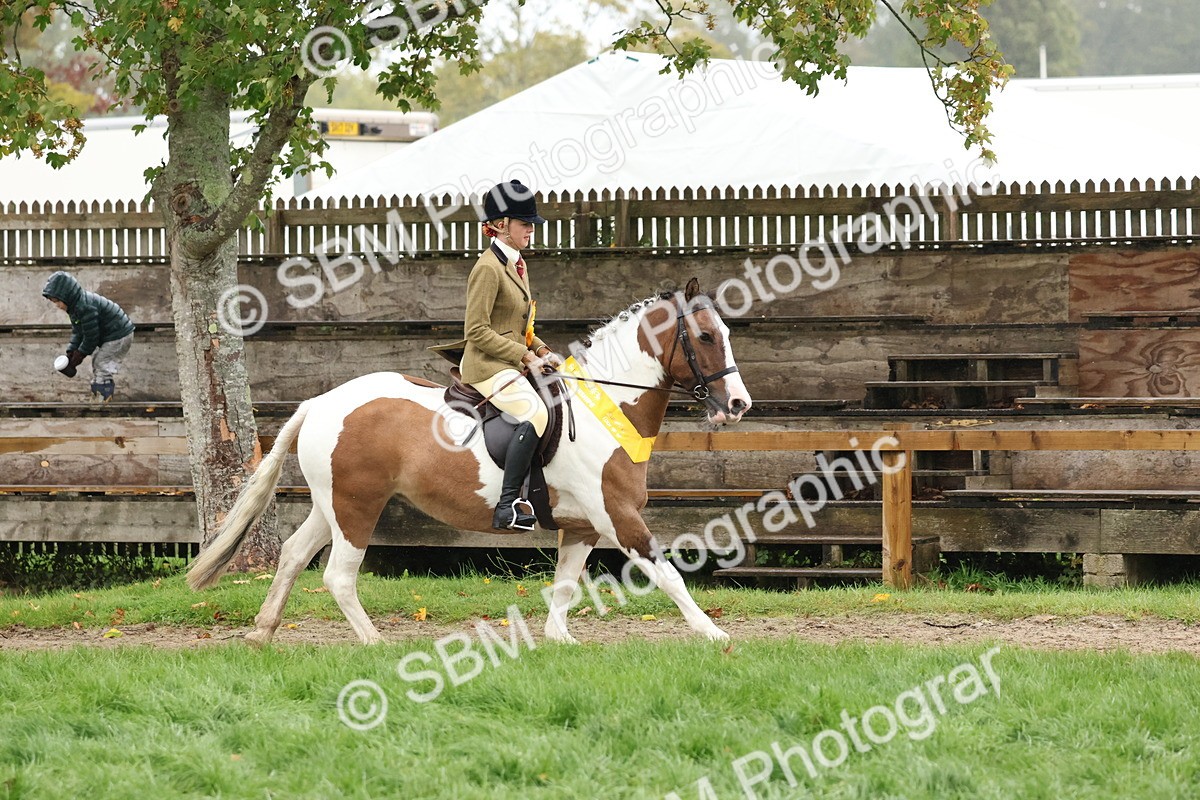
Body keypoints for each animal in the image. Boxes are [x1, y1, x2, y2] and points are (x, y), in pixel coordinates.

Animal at [186, 277, 753, 644]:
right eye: (706, 336)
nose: (738, 405)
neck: (605, 408)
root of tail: (321, 402)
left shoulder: (583, 526)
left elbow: (566, 584)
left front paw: (558, 641)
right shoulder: (617, 516)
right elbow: (668, 574)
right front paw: (713, 633)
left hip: (331, 505)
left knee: (292, 555)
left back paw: (262, 634)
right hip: (356, 506)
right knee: (338, 577)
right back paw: (375, 644)